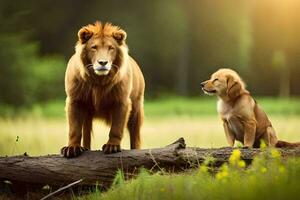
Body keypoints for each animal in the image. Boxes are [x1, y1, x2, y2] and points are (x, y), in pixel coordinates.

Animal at [60, 21, 145, 158]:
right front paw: (72, 148)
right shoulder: (75, 100)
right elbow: (74, 128)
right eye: (94, 47)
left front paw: (112, 146)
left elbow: (116, 127)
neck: (99, 81)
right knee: (86, 132)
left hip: (137, 108)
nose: (103, 62)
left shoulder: (122, 101)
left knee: (135, 134)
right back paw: (85, 148)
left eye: (111, 48)